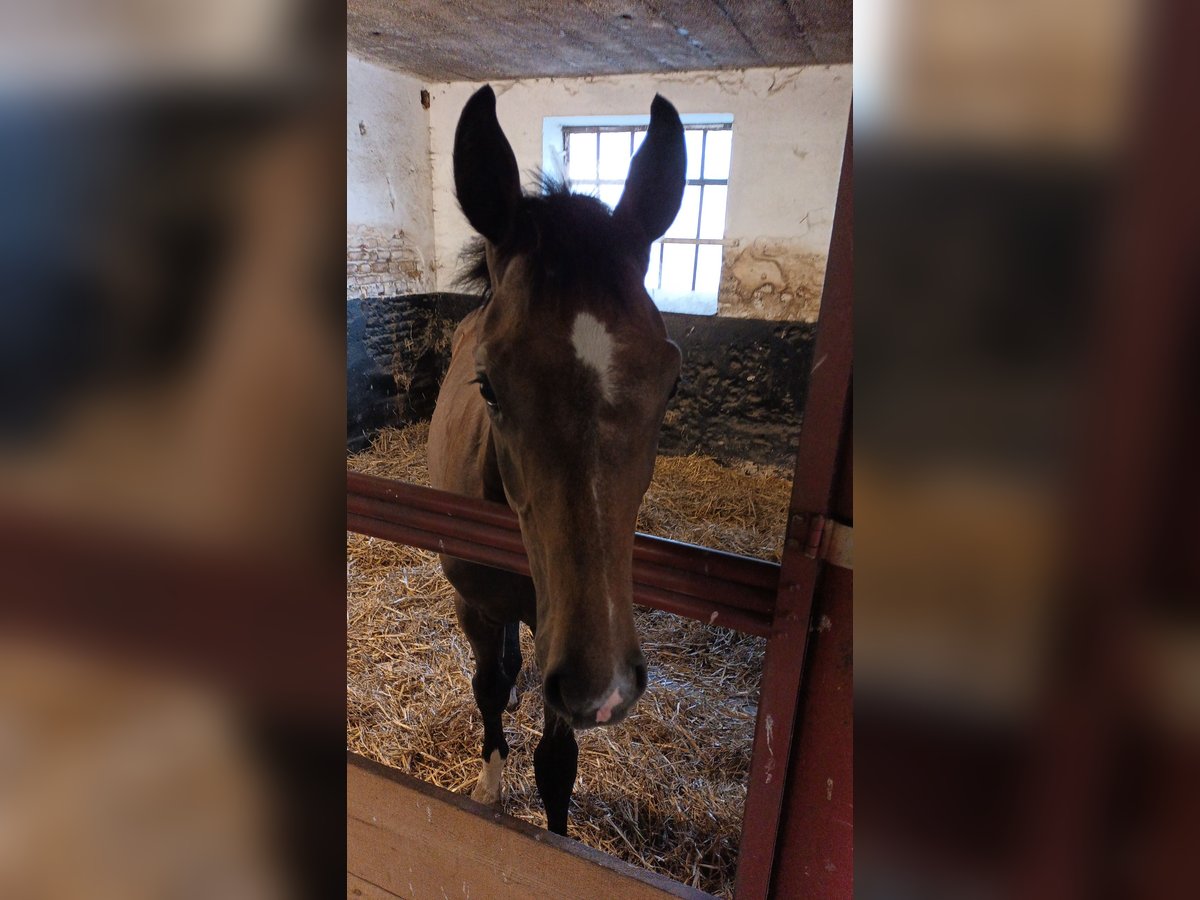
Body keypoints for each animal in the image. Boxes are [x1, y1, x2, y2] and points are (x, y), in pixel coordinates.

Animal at [427, 86, 686, 840]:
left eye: (672, 383)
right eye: (488, 385)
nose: (605, 687)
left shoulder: (561, 634)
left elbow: (556, 763)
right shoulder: (476, 605)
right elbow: (486, 688)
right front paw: (489, 789)